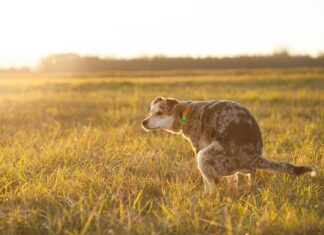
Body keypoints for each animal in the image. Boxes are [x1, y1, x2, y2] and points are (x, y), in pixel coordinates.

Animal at [142, 96, 316, 194]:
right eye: (150, 112)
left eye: (159, 113)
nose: (143, 122)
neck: (185, 113)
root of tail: (255, 157)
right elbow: (233, 180)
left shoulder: (199, 148)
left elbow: (207, 183)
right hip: (246, 170)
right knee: (248, 180)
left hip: (204, 156)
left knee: (214, 186)